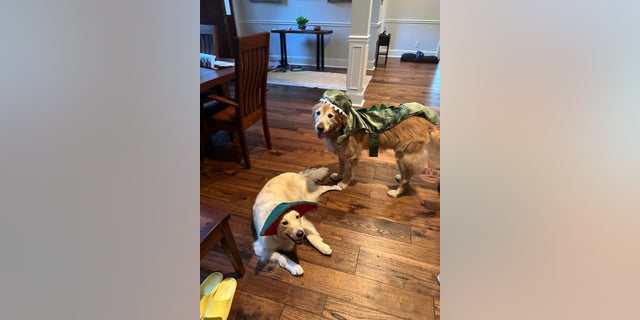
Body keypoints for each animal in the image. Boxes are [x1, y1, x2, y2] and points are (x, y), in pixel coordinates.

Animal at [312, 89, 442, 198]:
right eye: (318, 113)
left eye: (330, 116)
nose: (319, 128)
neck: (341, 128)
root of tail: (428, 124)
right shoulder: (341, 153)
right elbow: (341, 167)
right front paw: (338, 176)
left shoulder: (351, 156)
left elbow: (348, 172)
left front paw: (343, 183)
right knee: (407, 175)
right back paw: (400, 177)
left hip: (403, 157)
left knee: (406, 180)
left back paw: (396, 192)